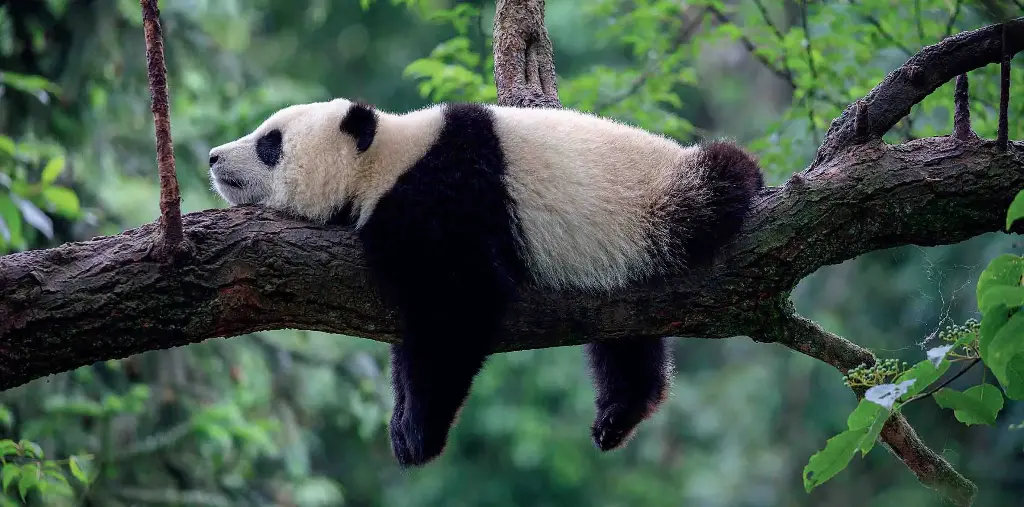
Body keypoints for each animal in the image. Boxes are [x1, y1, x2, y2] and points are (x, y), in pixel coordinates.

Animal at [208, 98, 764, 468]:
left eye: (270, 143)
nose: (213, 157)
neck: (387, 158)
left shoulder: (447, 195)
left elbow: (459, 307)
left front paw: (419, 433)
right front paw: (402, 421)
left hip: (659, 203)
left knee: (720, 181)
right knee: (626, 339)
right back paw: (619, 413)